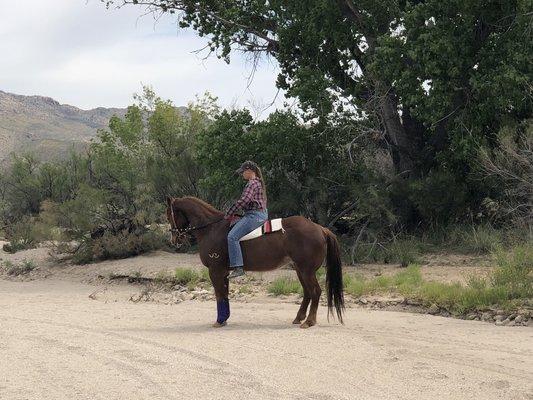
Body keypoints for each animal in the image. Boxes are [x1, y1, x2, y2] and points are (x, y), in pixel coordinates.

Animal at [166, 195, 344, 328]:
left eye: (169, 215)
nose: (174, 239)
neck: (211, 229)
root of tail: (320, 228)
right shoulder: (223, 272)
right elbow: (224, 294)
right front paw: (224, 318)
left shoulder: (215, 270)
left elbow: (219, 295)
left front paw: (219, 320)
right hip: (300, 270)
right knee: (308, 292)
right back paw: (299, 318)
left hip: (307, 270)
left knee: (315, 292)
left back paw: (309, 321)